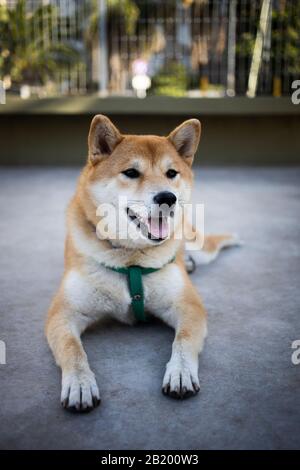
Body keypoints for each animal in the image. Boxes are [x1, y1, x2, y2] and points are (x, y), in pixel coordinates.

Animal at [45, 114, 238, 412]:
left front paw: (180, 372)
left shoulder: (188, 306)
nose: (167, 198)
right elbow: (72, 349)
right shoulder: (63, 314)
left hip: (197, 243)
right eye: (131, 173)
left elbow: (183, 341)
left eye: (171, 173)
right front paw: (79, 383)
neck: (131, 260)